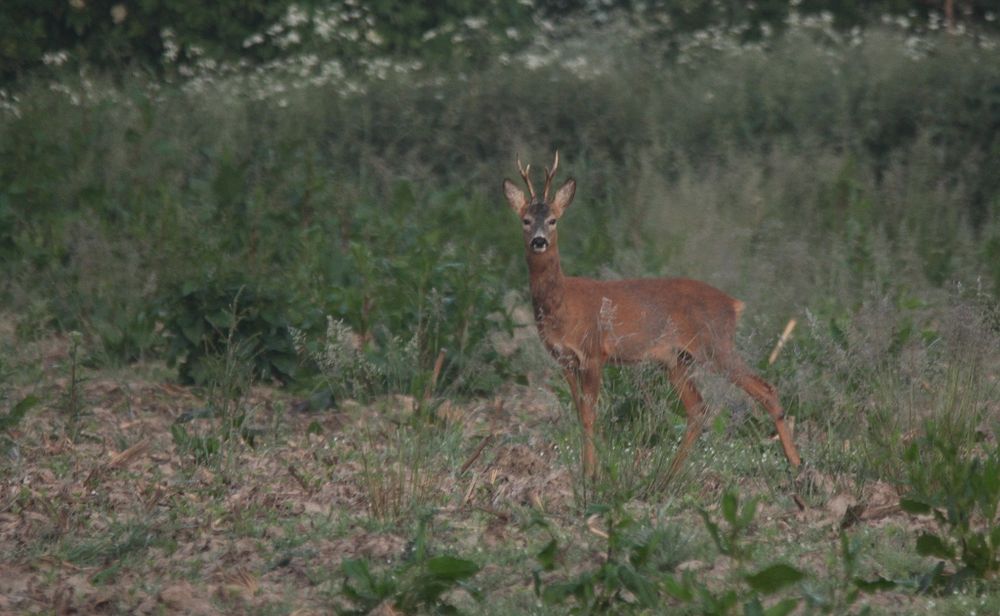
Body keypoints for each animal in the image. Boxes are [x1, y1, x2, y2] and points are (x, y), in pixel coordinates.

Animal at [504, 152, 800, 478]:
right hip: (676, 358)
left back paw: (796, 464)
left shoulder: (593, 352)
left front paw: (591, 475)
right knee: (698, 408)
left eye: (553, 220)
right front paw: (586, 471)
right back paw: (668, 475)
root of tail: (733, 304)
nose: (539, 241)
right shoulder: (564, 359)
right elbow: (580, 413)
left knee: (765, 389)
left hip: (715, 344)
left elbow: (590, 414)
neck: (562, 304)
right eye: (525, 220)